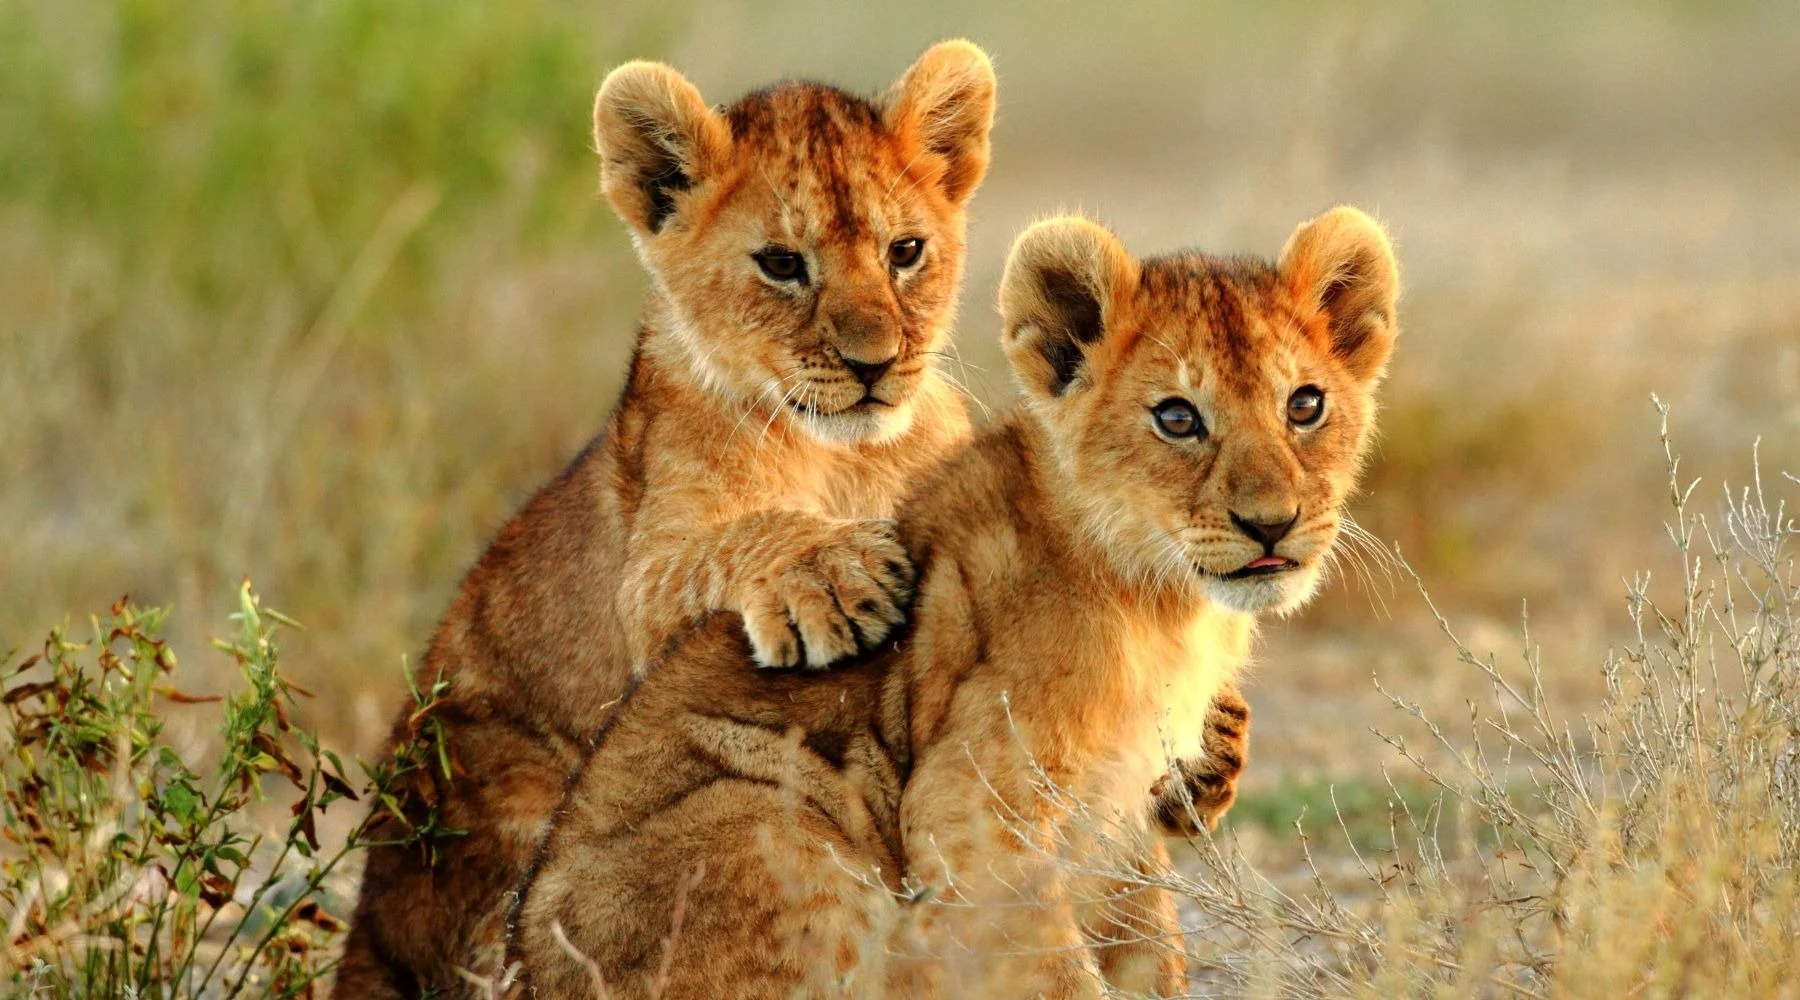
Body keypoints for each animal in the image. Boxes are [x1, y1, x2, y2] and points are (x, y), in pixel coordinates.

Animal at [506, 206, 1401, 999]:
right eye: (1177, 418)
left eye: (1305, 405)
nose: (1272, 523)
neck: (1168, 606)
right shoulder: (971, 809)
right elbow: (1057, 973)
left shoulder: (1114, 821)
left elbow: (1148, 949)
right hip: (767, 815)